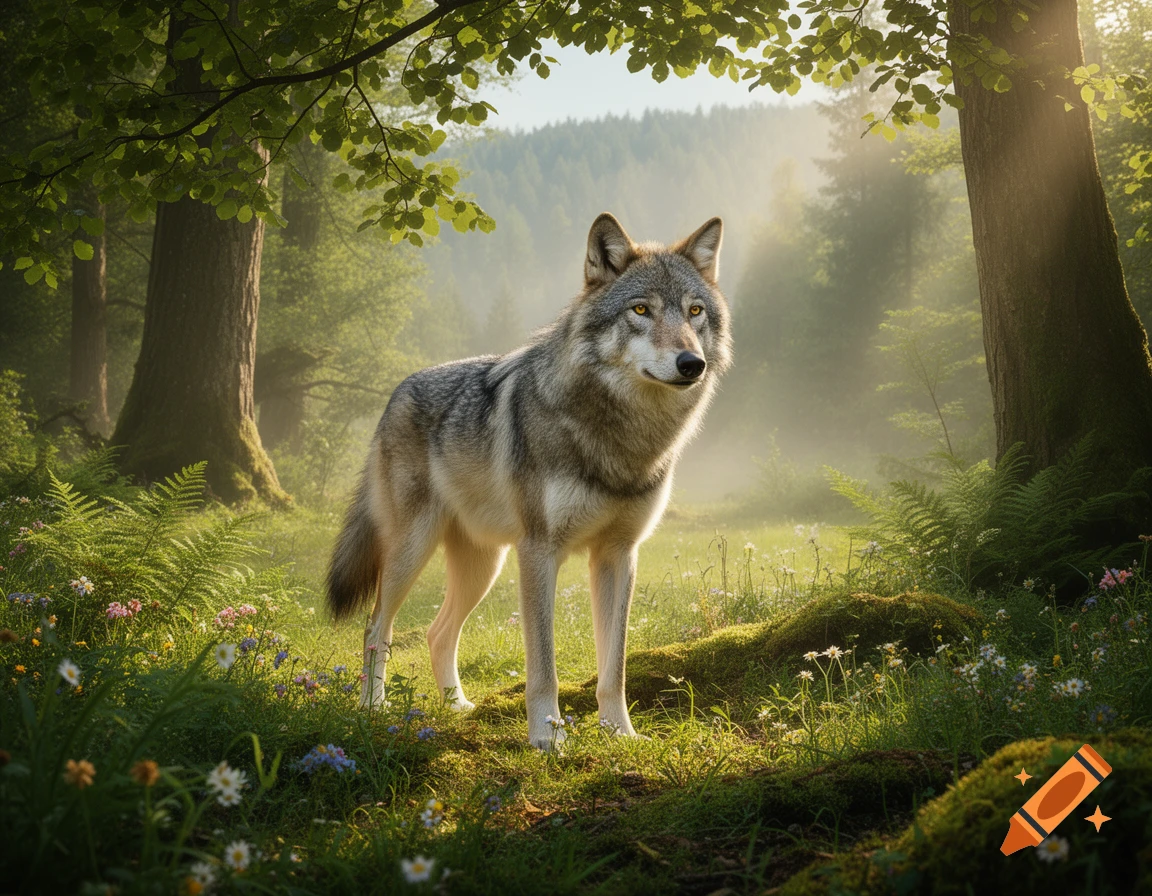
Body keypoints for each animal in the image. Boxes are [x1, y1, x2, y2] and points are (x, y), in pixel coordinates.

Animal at [325, 212, 732, 749]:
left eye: (694, 311)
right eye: (641, 309)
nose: (692, 364)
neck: (622, 439)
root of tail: (397, 391)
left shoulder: (618, 555)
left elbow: (614, 668)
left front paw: (620, 734)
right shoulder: (540, 551)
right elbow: (543, 667)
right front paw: (547, 739)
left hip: (485, 565)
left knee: (437, 632)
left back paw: (457, 707)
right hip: (414, 552)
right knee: (375, 628)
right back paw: (373, 707)